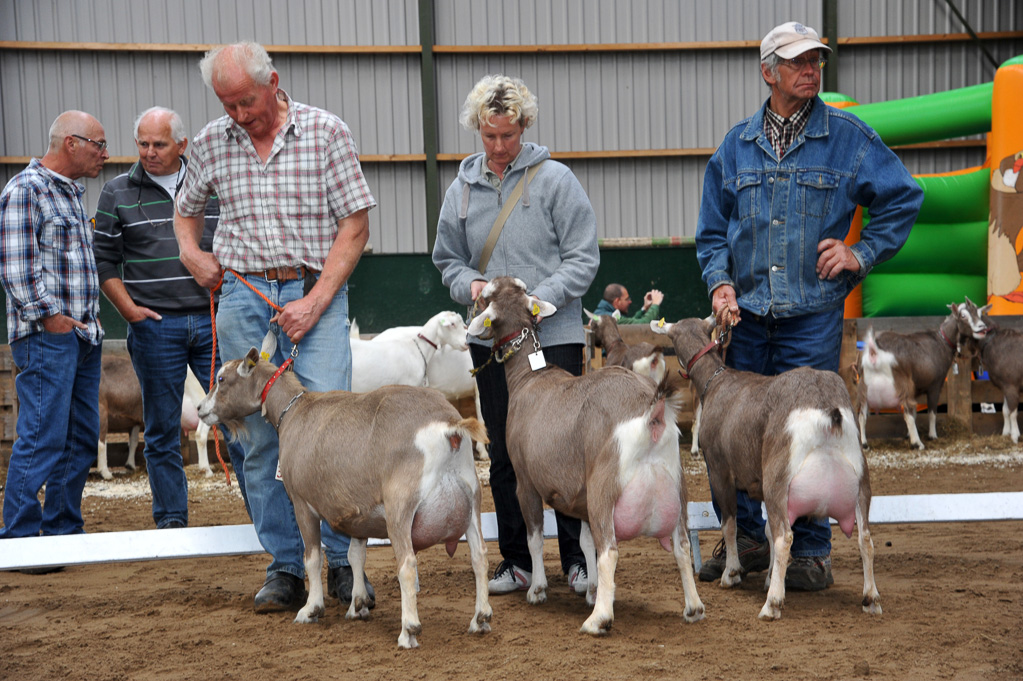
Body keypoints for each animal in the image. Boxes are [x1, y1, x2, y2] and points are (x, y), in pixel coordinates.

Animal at [197, 345, 493, 646]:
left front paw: (311, 609)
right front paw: (357, 604)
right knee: (479, 555)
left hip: (401, 504)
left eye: (221, 379)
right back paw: (480, 618)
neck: (293, 411)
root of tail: (450, 426)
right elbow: (355, 555)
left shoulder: (302, 502)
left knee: (408, 565)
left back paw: (408, 629)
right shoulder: (359, 510)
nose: (199, 409)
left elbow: (313, 557)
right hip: (472, 496)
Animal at [468, 274, 703, 629]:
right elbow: (584, 541)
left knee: (611, 550)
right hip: (674, 485)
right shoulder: (579, 494)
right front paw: (591, 589)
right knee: (682, 546)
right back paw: (693, 607)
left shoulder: (526, 481)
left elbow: (535, 536)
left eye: (486, 297)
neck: (530, 377)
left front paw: (538, 589)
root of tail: (652, 411)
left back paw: (599, 619)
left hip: (605, 485)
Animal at [654, 314, 879, 617]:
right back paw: (871, 599)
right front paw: (771, 576)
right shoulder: (758, 481)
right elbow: (768, 532)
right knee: (865, 537)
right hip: (859, 478)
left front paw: (732, 573)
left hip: (778, 476)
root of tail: (825, 407)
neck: (716, 380)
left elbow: (731, 524)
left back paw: (772, 605)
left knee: (786, 538)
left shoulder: (720, 470)